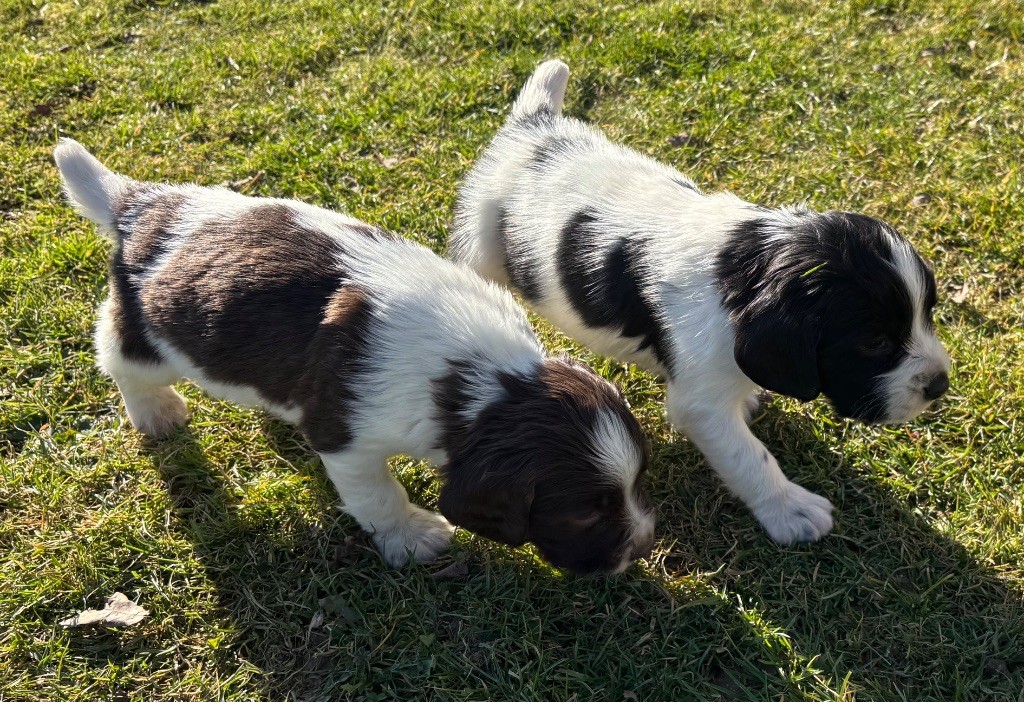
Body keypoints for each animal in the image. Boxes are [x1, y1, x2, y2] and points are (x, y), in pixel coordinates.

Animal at [56, 139, 651, 577]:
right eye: (585, 513)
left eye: (637, 483)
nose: (643, 548)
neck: (483, 380)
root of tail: (141, 205)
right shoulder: (348, 440)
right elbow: (378, 495)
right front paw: (412, 536)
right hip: (150, 336)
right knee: (118, 356)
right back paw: (155, 411)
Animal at [450, 61, 950, 544]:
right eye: (873, 343)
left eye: (928, 314)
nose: (940, 386)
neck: (746, 267)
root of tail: (532, 126)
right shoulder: (702, 405)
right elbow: (750, 456)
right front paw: (791, 510)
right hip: (479, 243)